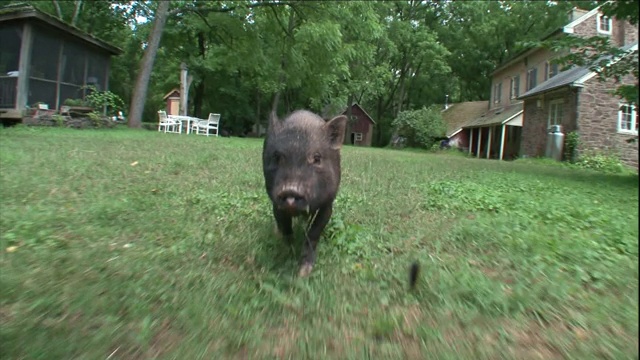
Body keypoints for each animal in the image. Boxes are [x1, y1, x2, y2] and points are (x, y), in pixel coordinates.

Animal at [262, 108, 348, 278]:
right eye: (276, 157)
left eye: (316, 158)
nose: (290, 189)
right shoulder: (276, 203)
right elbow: (286, 229)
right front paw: (287, 254)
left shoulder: (328, 204)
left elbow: (313, 233)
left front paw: (303, 273)